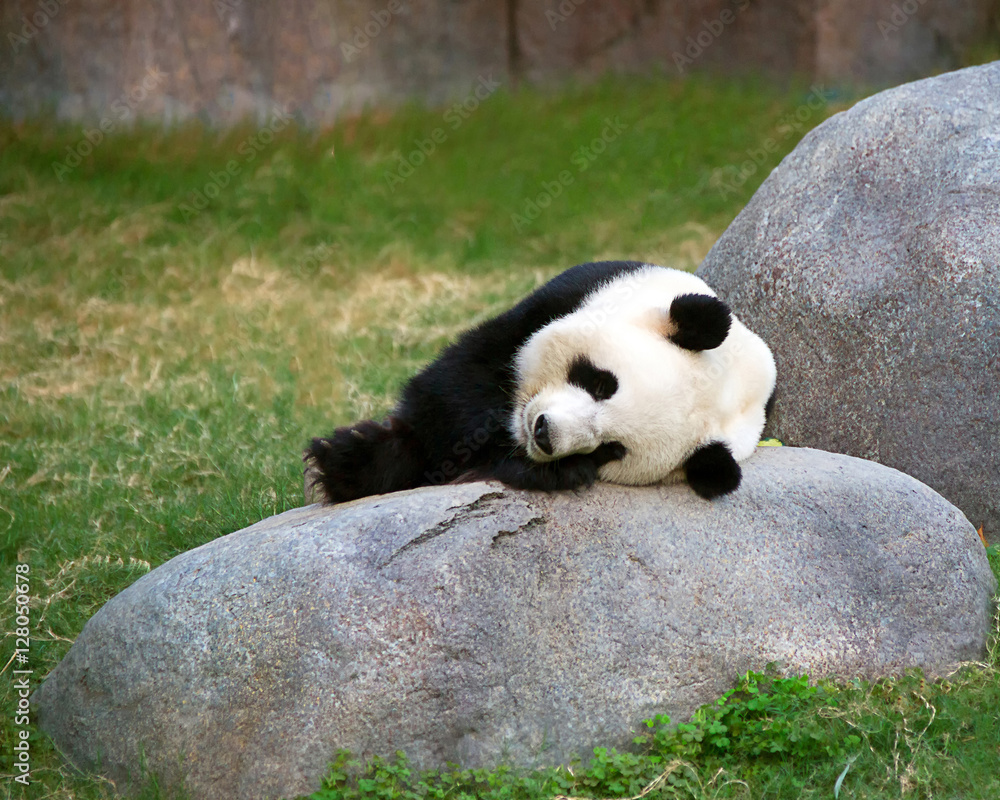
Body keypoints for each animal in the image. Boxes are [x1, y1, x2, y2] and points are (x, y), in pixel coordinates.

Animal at [306, 260, 776, 504]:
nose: (544, 433)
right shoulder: (577, 295)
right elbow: (457, 388)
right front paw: (351, 462)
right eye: (601, 383)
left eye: (611, 449)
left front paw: (549, 469)